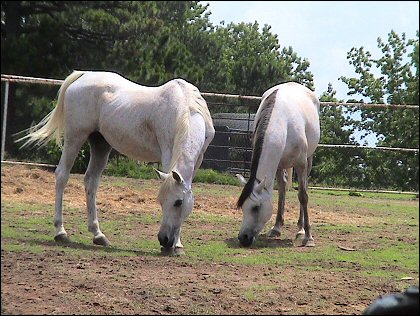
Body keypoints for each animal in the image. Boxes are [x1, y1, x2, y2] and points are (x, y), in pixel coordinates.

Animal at [17, 71, 215, 252]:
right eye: (160, 201)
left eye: (178, 202)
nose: (164, 241)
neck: (186, 110)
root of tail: (83, 75)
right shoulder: (168, 154)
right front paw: (177, 245)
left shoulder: (198, 159)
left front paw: (178, 245)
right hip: (75, 138)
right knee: (62, 175)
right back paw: (61, 232)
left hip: (100, 144)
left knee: (91, 181)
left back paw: (98, 235)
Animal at [235, 82, 320, 248]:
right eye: (242, 206)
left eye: (256, 207)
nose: (243, 238)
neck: (282, 122)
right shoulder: (278, 163)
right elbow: (281, 190)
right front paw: (276, 228)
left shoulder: (301, 163)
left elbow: (303, 196)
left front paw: (308, 237)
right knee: (283, 188)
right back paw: (277, 228)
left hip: (309, 158)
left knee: (303, 188)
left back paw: (300, 230)